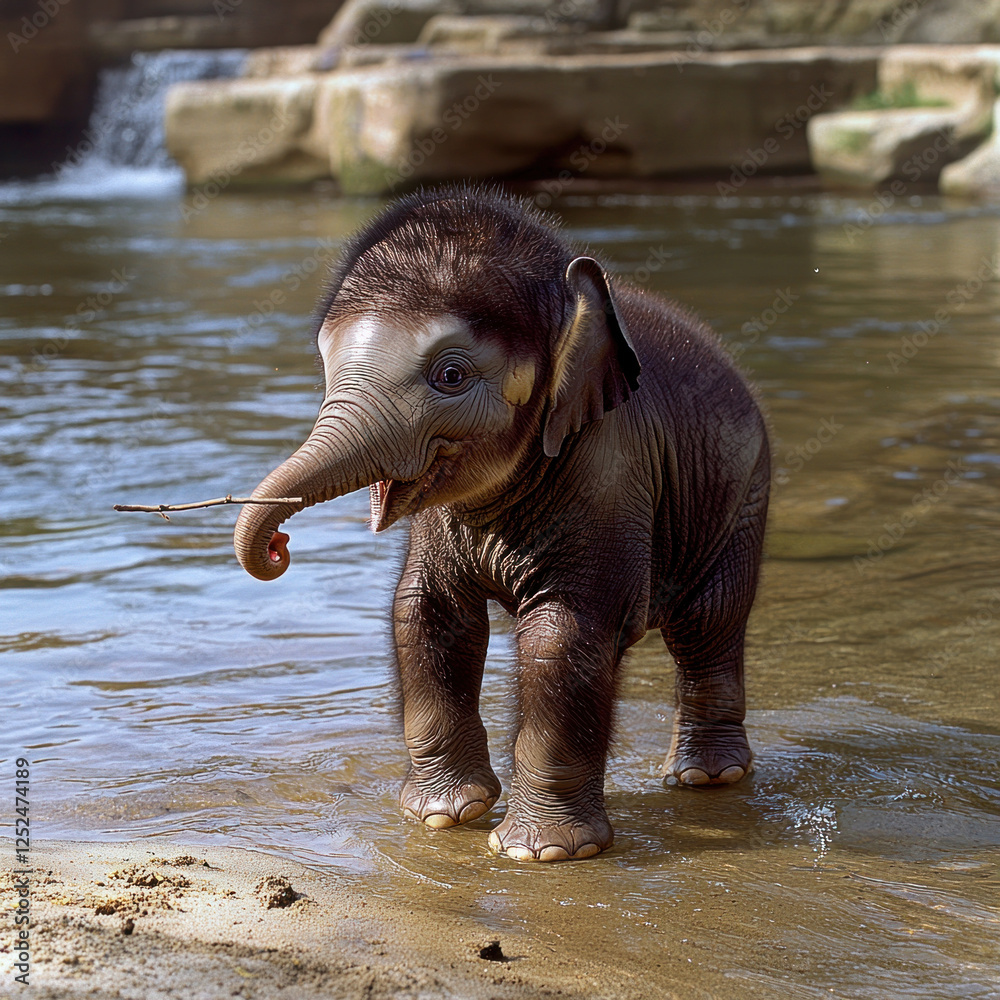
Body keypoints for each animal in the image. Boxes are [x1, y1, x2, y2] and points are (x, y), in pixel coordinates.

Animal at [234, 187, 770, 863]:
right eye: (326, 370)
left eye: (451, 376)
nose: (278, 546)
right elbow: (424, 614)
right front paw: (442, 816)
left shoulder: (610, 477)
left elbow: (563, 636)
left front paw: (541, 854)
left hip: (743, 492)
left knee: (707, 621)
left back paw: (705, 778)